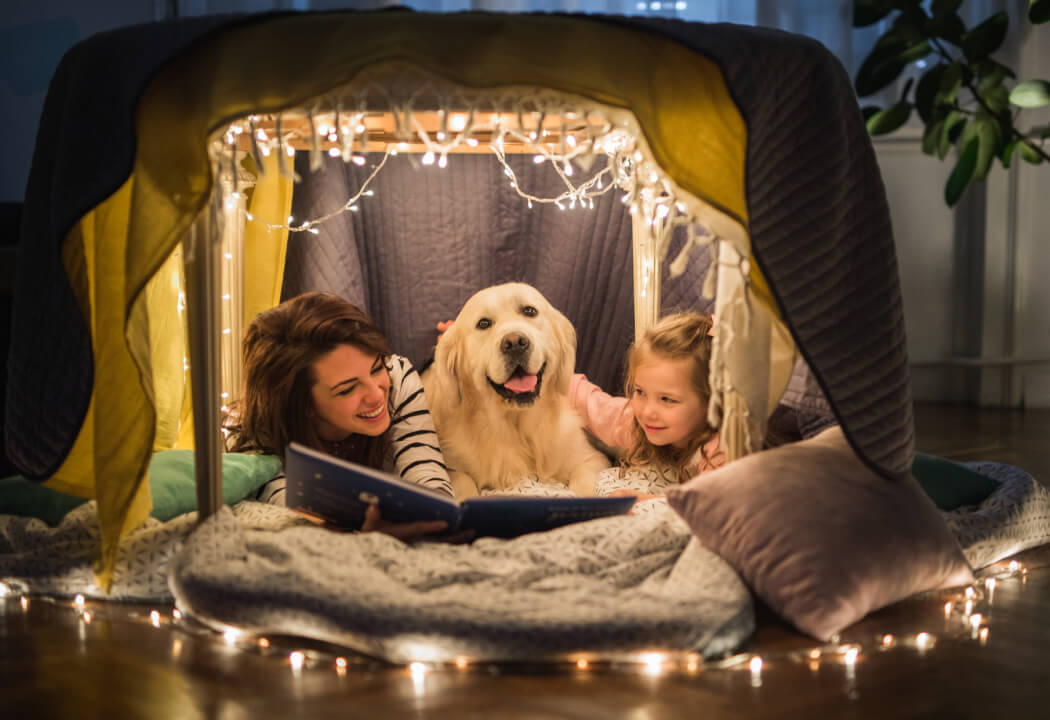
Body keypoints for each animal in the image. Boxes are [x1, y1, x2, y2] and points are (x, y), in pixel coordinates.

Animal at [422, 285, 613, 499]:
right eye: (483, 323)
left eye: (529, 311)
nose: (514, 343)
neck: (517, 429)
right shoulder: (450, 464)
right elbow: (463, 481)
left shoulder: (591, 458)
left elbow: (583, 482)